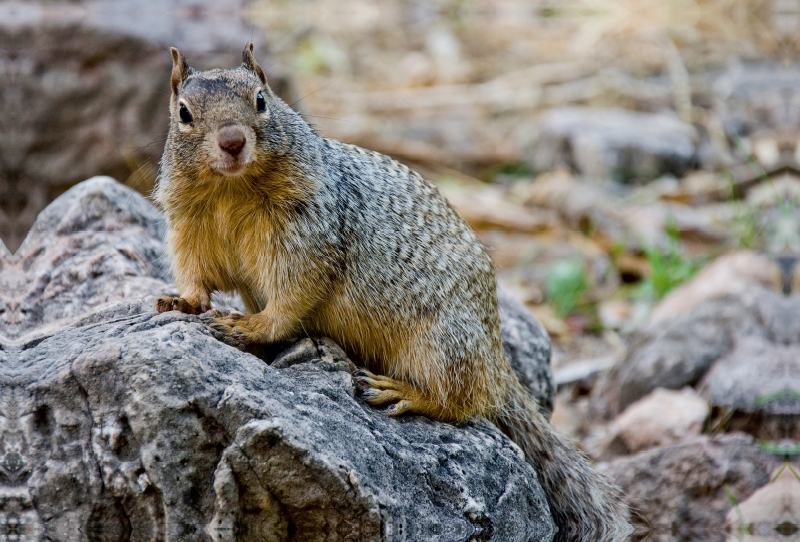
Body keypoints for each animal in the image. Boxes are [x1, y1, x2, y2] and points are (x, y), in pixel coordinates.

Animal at [155, 43, 632, 542]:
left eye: (262, 100)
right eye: (184, 113)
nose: (232, 141)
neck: (231, 188)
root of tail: (497, 356)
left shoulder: (307, 236)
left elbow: (292, 295)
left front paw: (252, 324)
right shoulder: (188, 227)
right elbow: (195, 273)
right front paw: (183, 300)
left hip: (440, 343)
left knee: (461, 400)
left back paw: (400, 391)